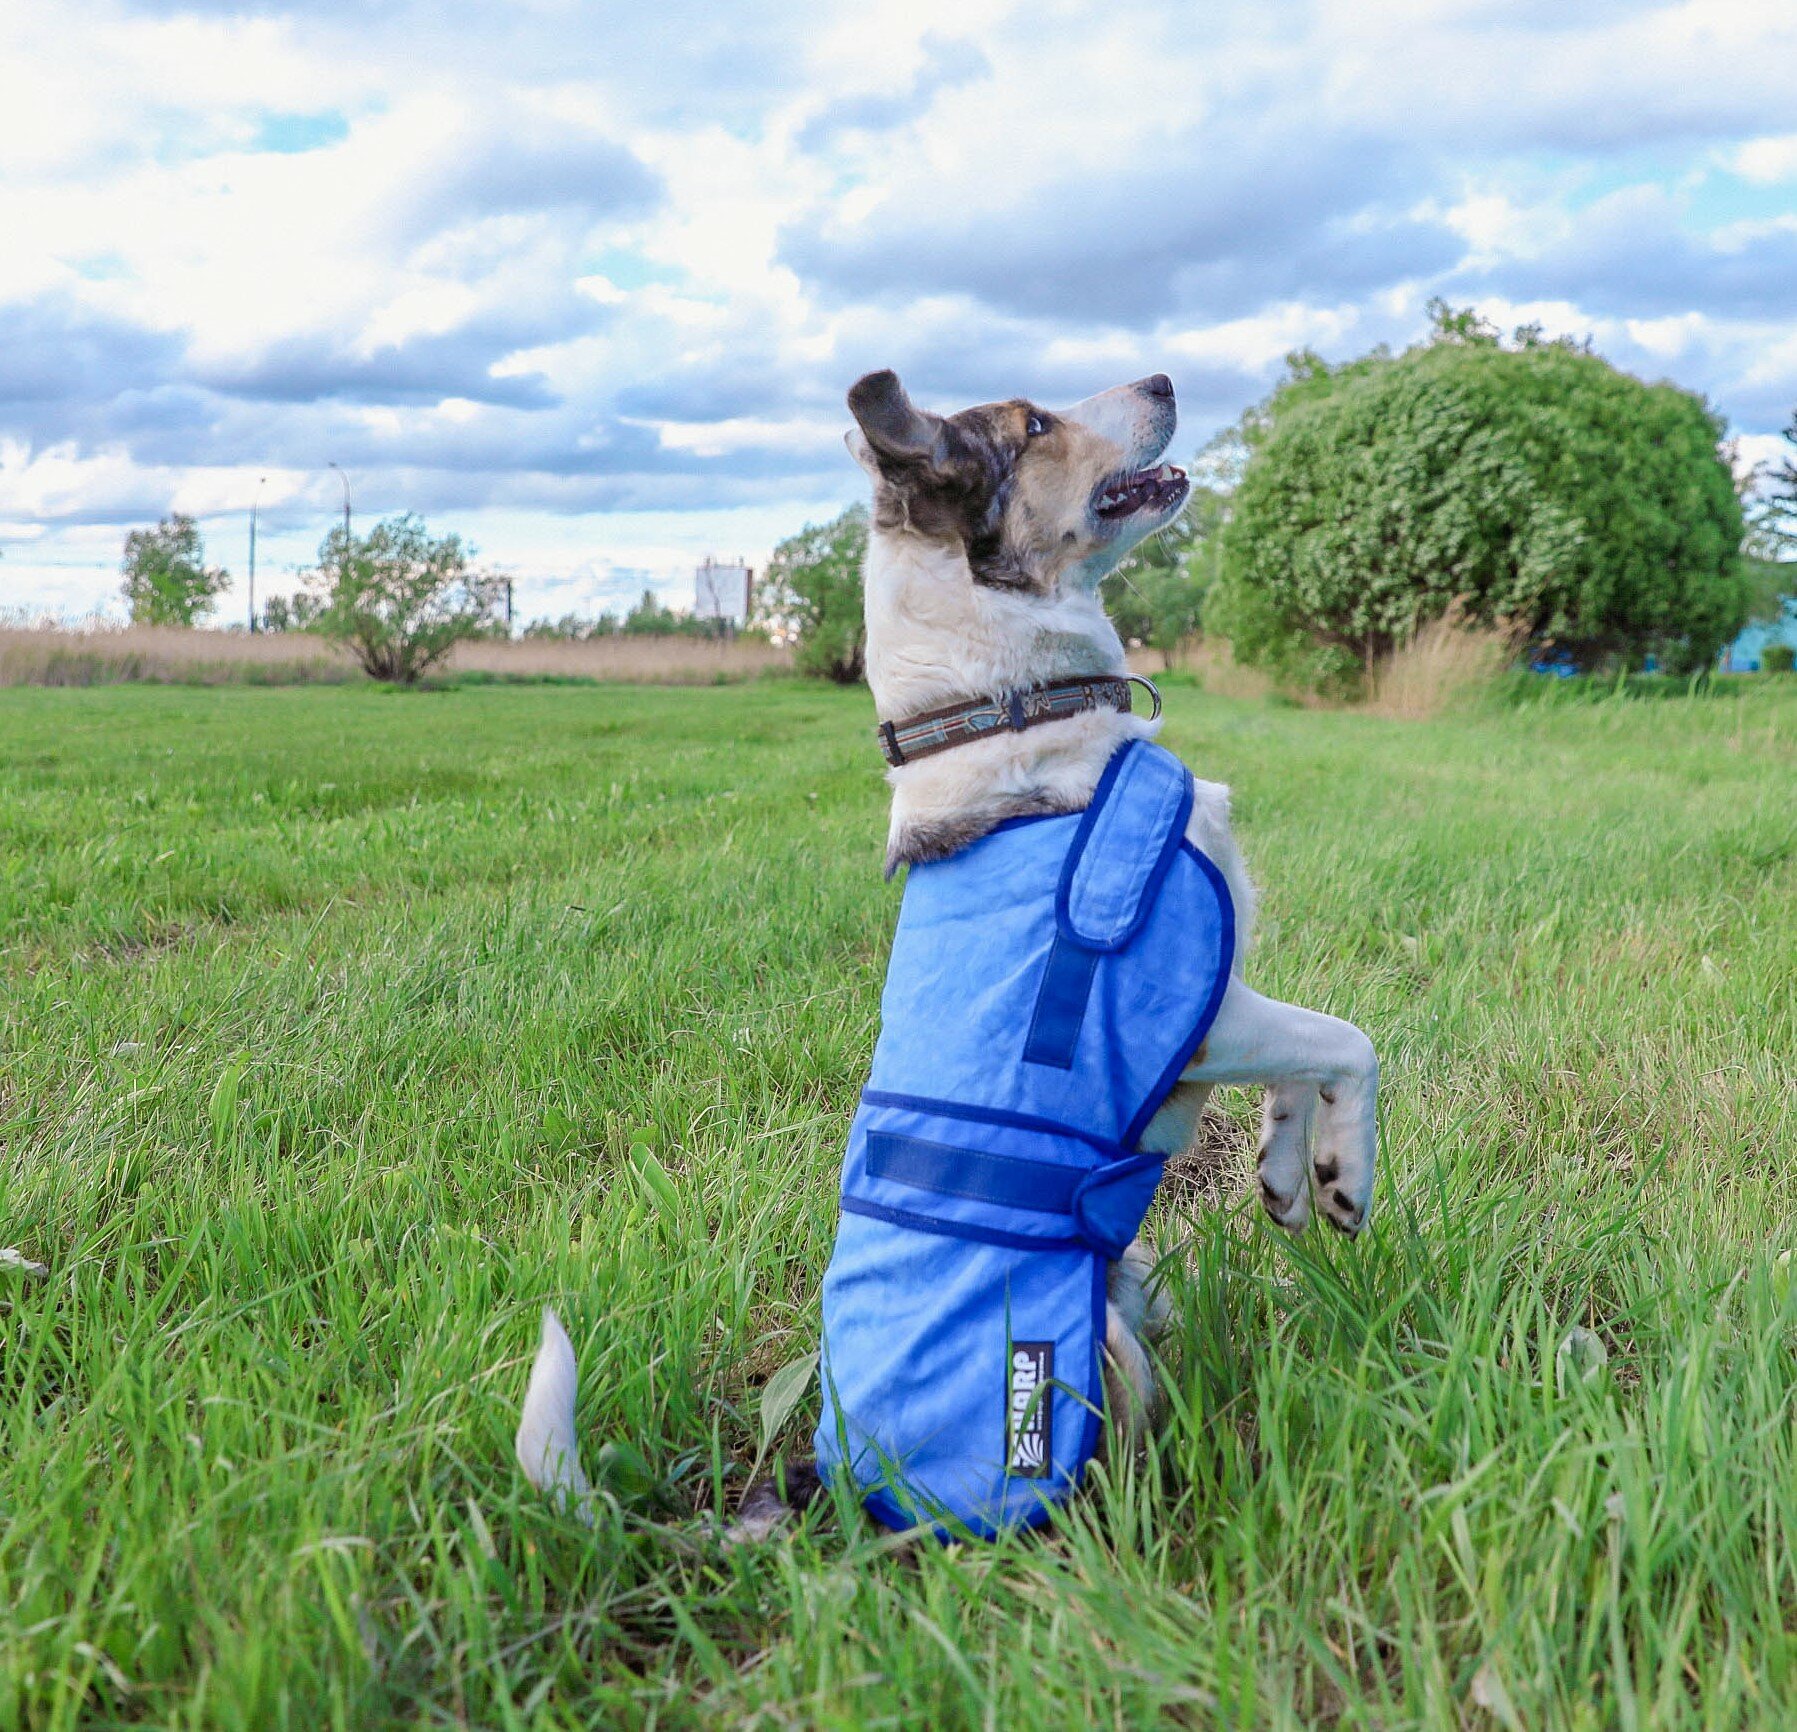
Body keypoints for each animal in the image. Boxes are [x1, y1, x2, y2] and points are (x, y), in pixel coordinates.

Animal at [513, 371, 1380, 1537]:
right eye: (1036, 425)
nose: (1164, 379)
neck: (1004, 713)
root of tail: (838, 1481)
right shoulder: (1199, 1022)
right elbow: (1348, 1041)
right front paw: (1348, 1179)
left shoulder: (1224, 1004)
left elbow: (1300, 1067)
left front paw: (1293, 1178)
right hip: (1080, 1361)